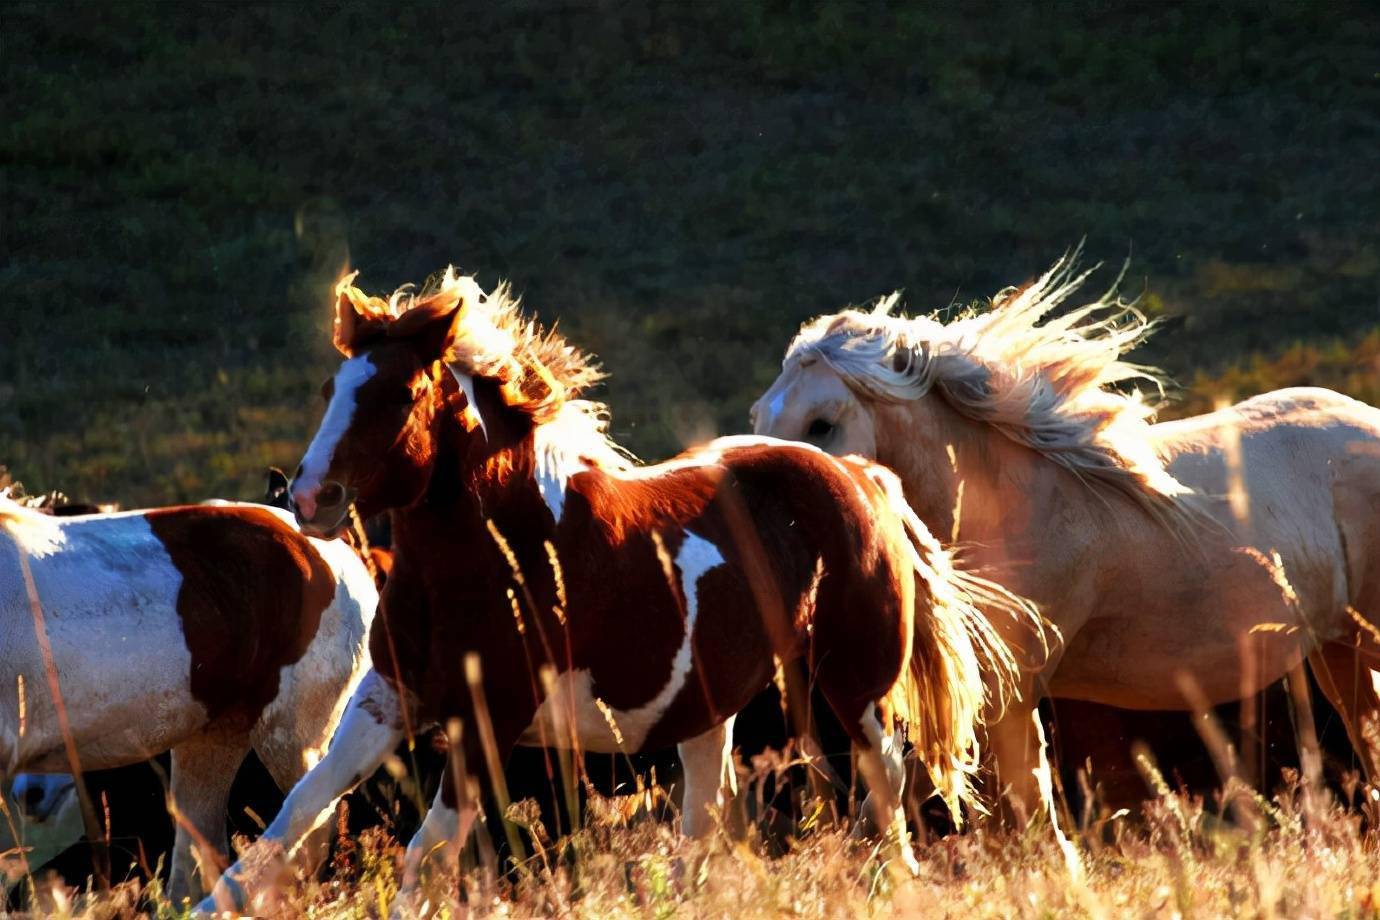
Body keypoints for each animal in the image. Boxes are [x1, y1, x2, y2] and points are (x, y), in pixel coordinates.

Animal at [0, 499, 378, 904]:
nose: (31, 795)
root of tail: (339, 557)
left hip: (290, 737)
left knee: (310, 820)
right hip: (214, 737)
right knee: (201, 855)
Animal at [197, 267, 1037, 915]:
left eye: (399, 396)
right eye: (333, 386)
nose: (312, 497)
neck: (503, 549)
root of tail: (861, 479)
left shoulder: (488, 718)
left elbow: (425, 849)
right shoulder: (391, 695)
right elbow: (295, 814)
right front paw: (209, 904)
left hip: (852, 683)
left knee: (883, 778)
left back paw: (897, 880)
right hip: (711, 708)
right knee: (708, 816)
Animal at [756, 249, 1380, 811]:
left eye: (822, 423)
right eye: (761, 418)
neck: (1004, 511)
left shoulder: (1010, 696)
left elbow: (1030, 816)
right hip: (1338, 648)